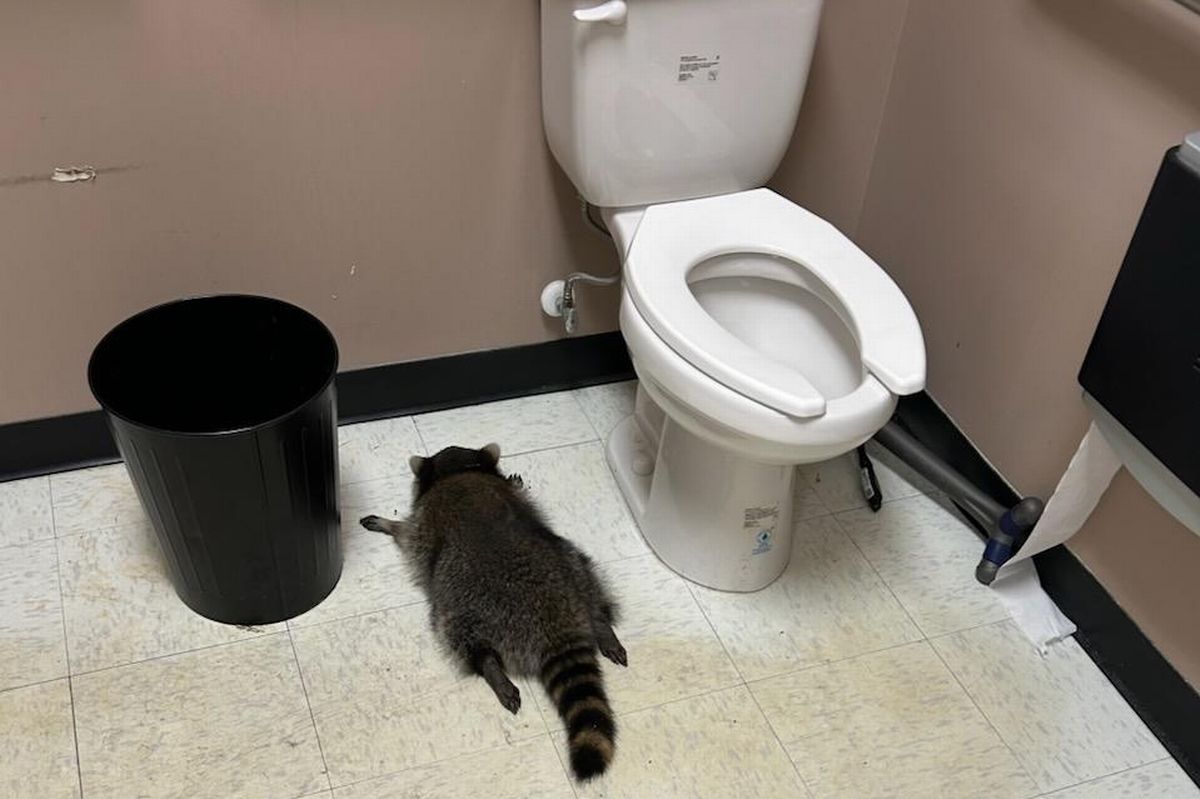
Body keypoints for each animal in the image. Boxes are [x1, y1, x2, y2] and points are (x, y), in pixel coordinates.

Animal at [359, 443, 627, 781]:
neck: (459, 471)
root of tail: (556, 624)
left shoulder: (424, 523)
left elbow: (407, 534)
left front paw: (388, 524)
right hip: (572, 564)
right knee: (588, 580)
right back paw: (601, 624)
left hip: (464, 605)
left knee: (459, 634)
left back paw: (490, 667)